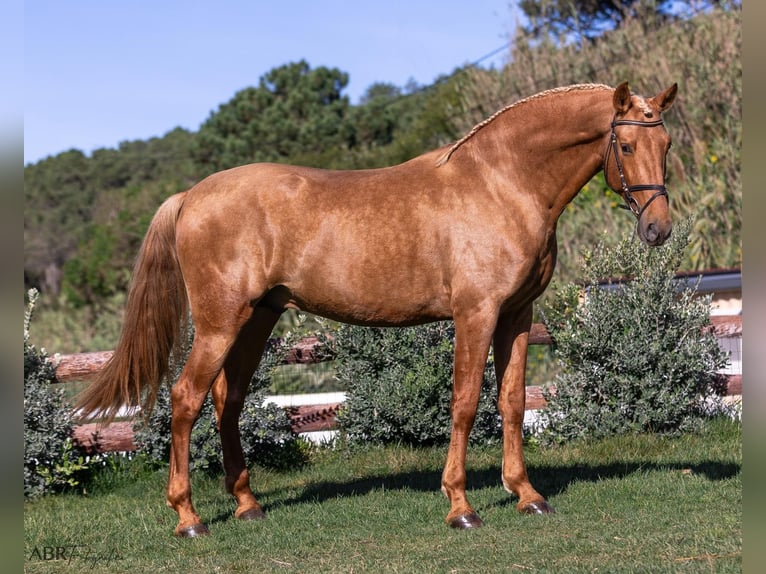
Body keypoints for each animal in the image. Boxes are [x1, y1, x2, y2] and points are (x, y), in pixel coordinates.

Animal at [76, 82, 680, 540]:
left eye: (667, 143)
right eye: (626, 146)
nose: (659, 229)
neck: (502, 183)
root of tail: (191, 197)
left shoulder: (516, 316)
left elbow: (511, 402)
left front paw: (526, 494)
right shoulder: (476, 314)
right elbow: (465, 403)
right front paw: (460, 507)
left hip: (257, 320)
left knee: (228, 401)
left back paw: (247, 505)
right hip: (220, 324)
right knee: (185, 400)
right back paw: (189, 518)